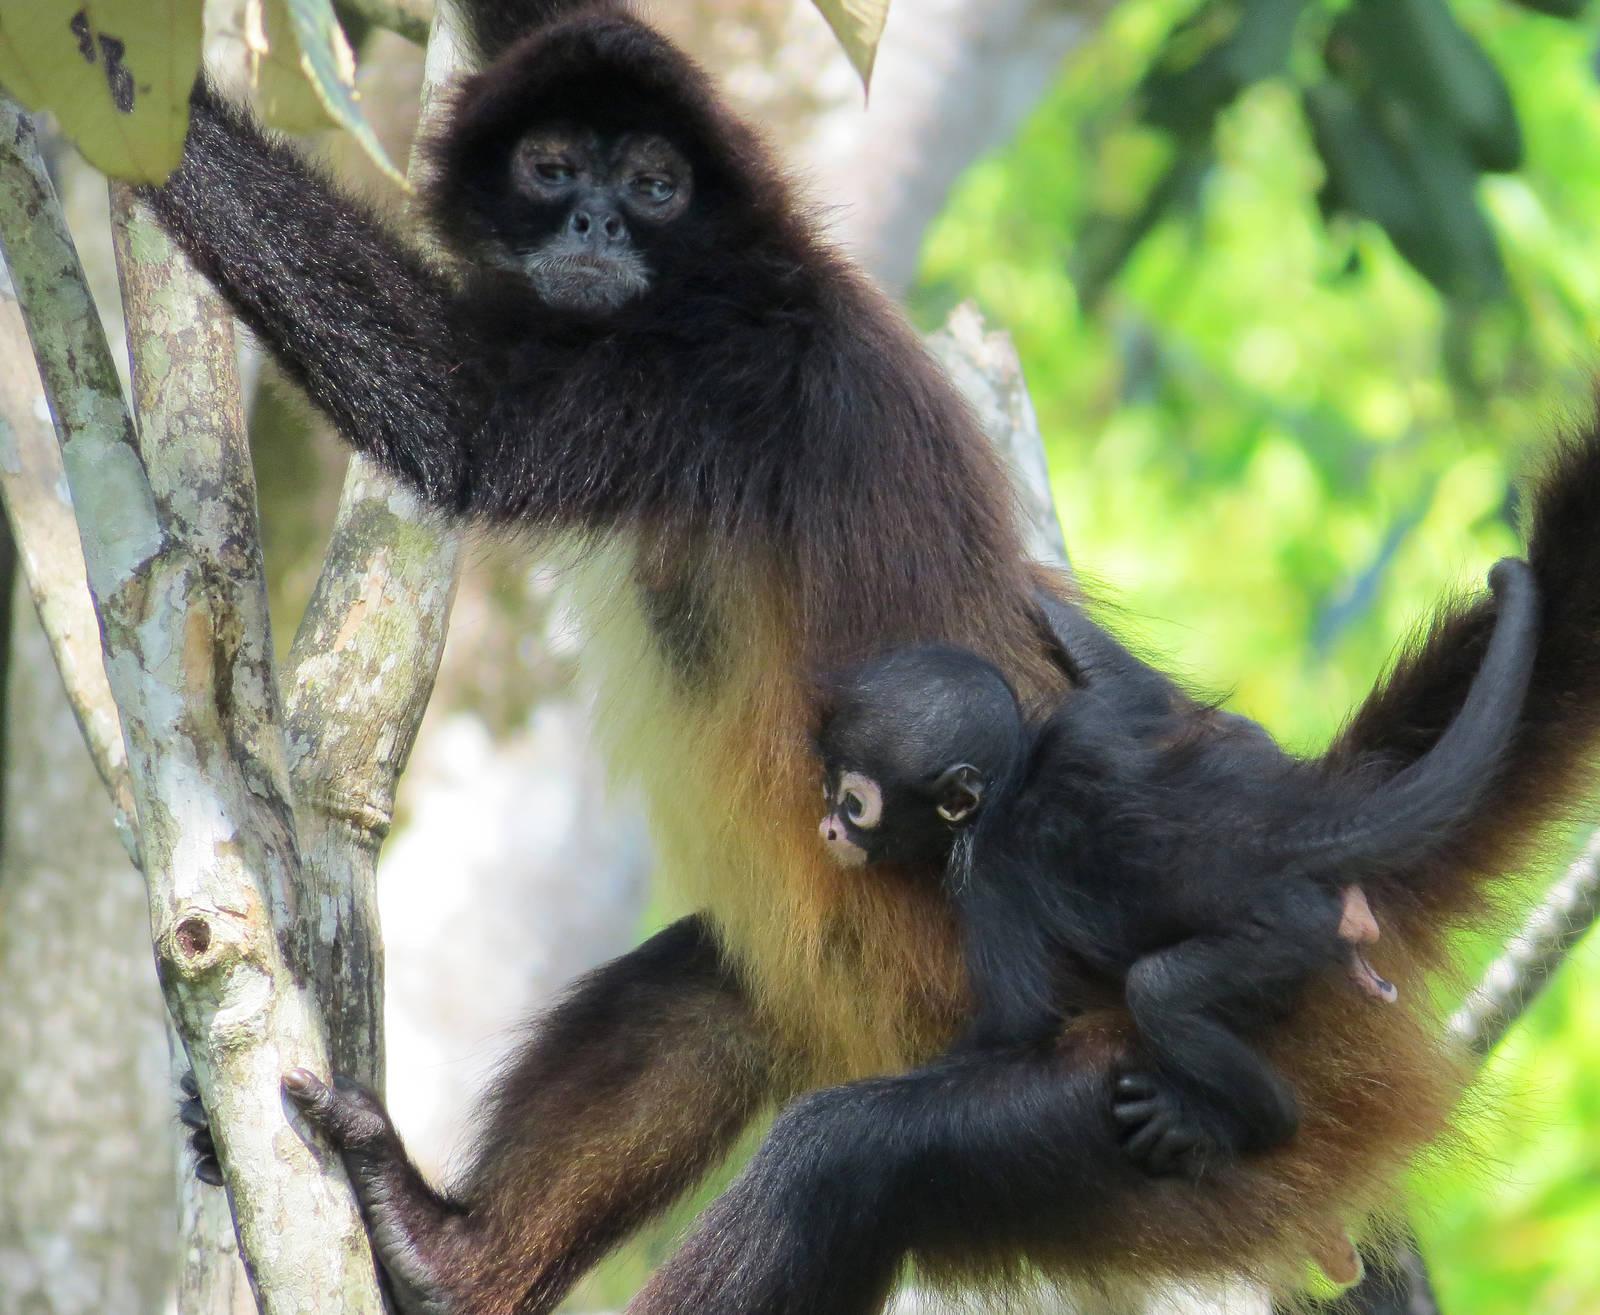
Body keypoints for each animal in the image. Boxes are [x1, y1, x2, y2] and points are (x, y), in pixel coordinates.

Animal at [812, 558, 1537, 1178]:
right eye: (832, 792)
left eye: (854, 802)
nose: (829, 829)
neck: (1018, 777)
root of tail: (1273, 837)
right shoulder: (1090, 726)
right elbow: (1141, 697)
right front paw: (1040, 599)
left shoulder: (986, 872)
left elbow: (1017, 1024)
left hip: (1282, 936)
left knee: (1159, 989)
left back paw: (1255, 1120)